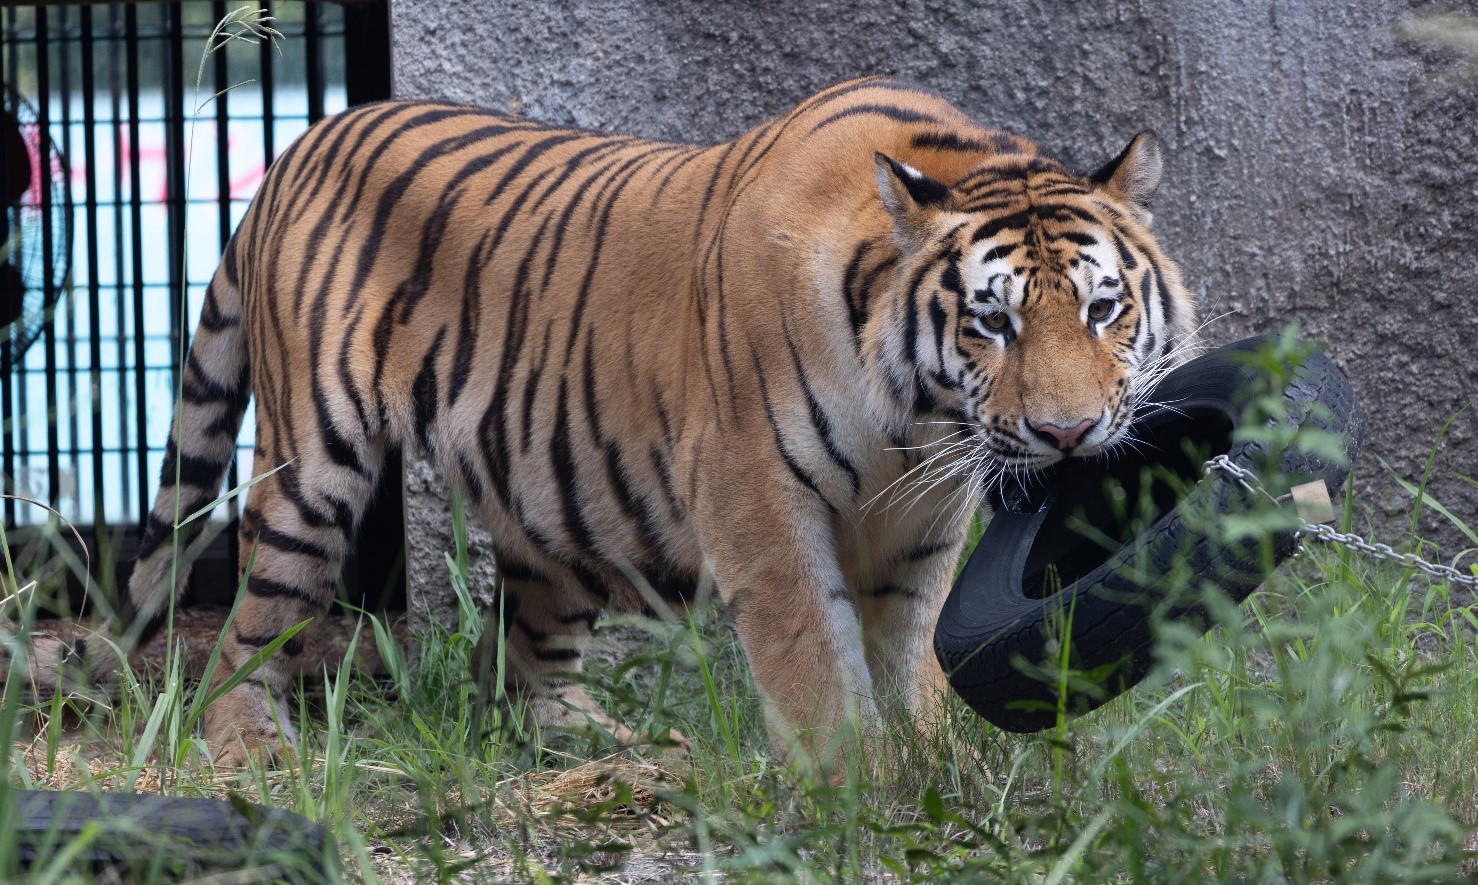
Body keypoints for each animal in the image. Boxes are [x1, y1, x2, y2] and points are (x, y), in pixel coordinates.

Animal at [17, 76, 1194, 768]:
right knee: (242, 633)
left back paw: (591, 741)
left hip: (559, 505)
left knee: (508, 661)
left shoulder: (920, 519)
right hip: (313, 468)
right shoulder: (756, 496)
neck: (913, 420)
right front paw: (852, 783)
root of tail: (306, 137)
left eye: (1101, 309)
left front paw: (929, 758)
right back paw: (252, 748)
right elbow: (813, 653)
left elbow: (910, 643)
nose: (1067, 436)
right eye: (992, 322)